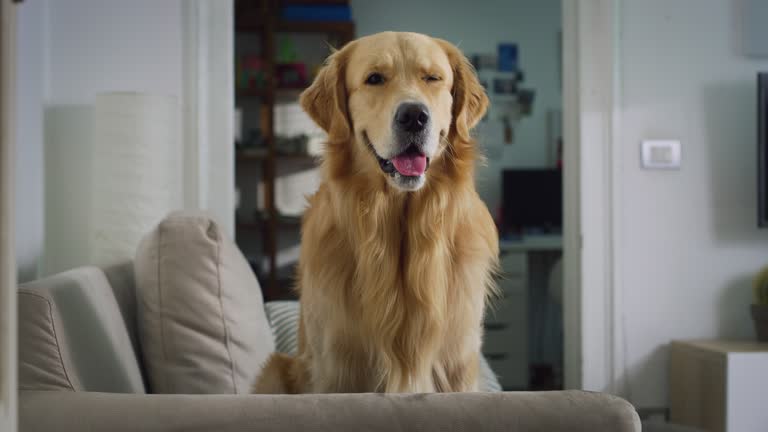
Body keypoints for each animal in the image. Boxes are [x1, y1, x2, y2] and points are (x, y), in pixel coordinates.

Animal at [255, 32, 500, 394]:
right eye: (374, 79)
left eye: (432, 78)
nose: (414, 116)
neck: (399, 221)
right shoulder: (337, 370)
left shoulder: (459, 368)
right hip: (274, 369)